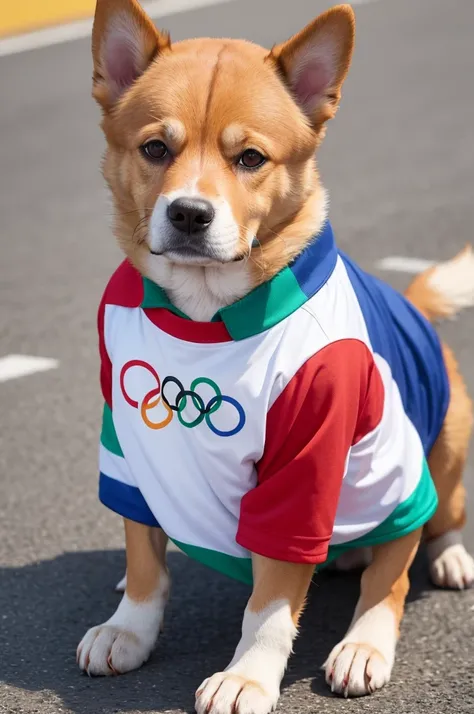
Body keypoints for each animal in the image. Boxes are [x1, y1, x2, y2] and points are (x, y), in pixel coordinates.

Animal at [77, 2, 474, 708]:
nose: (189, 214)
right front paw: (129, 626)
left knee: (402, 561)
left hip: (437, 446)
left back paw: (384, 620)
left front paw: (247, 675)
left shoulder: (303, 468)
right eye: (155, 148)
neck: (206, 317)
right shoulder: (126, 439)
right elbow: (144, 556)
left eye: (250, 158)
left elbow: (270, 603)